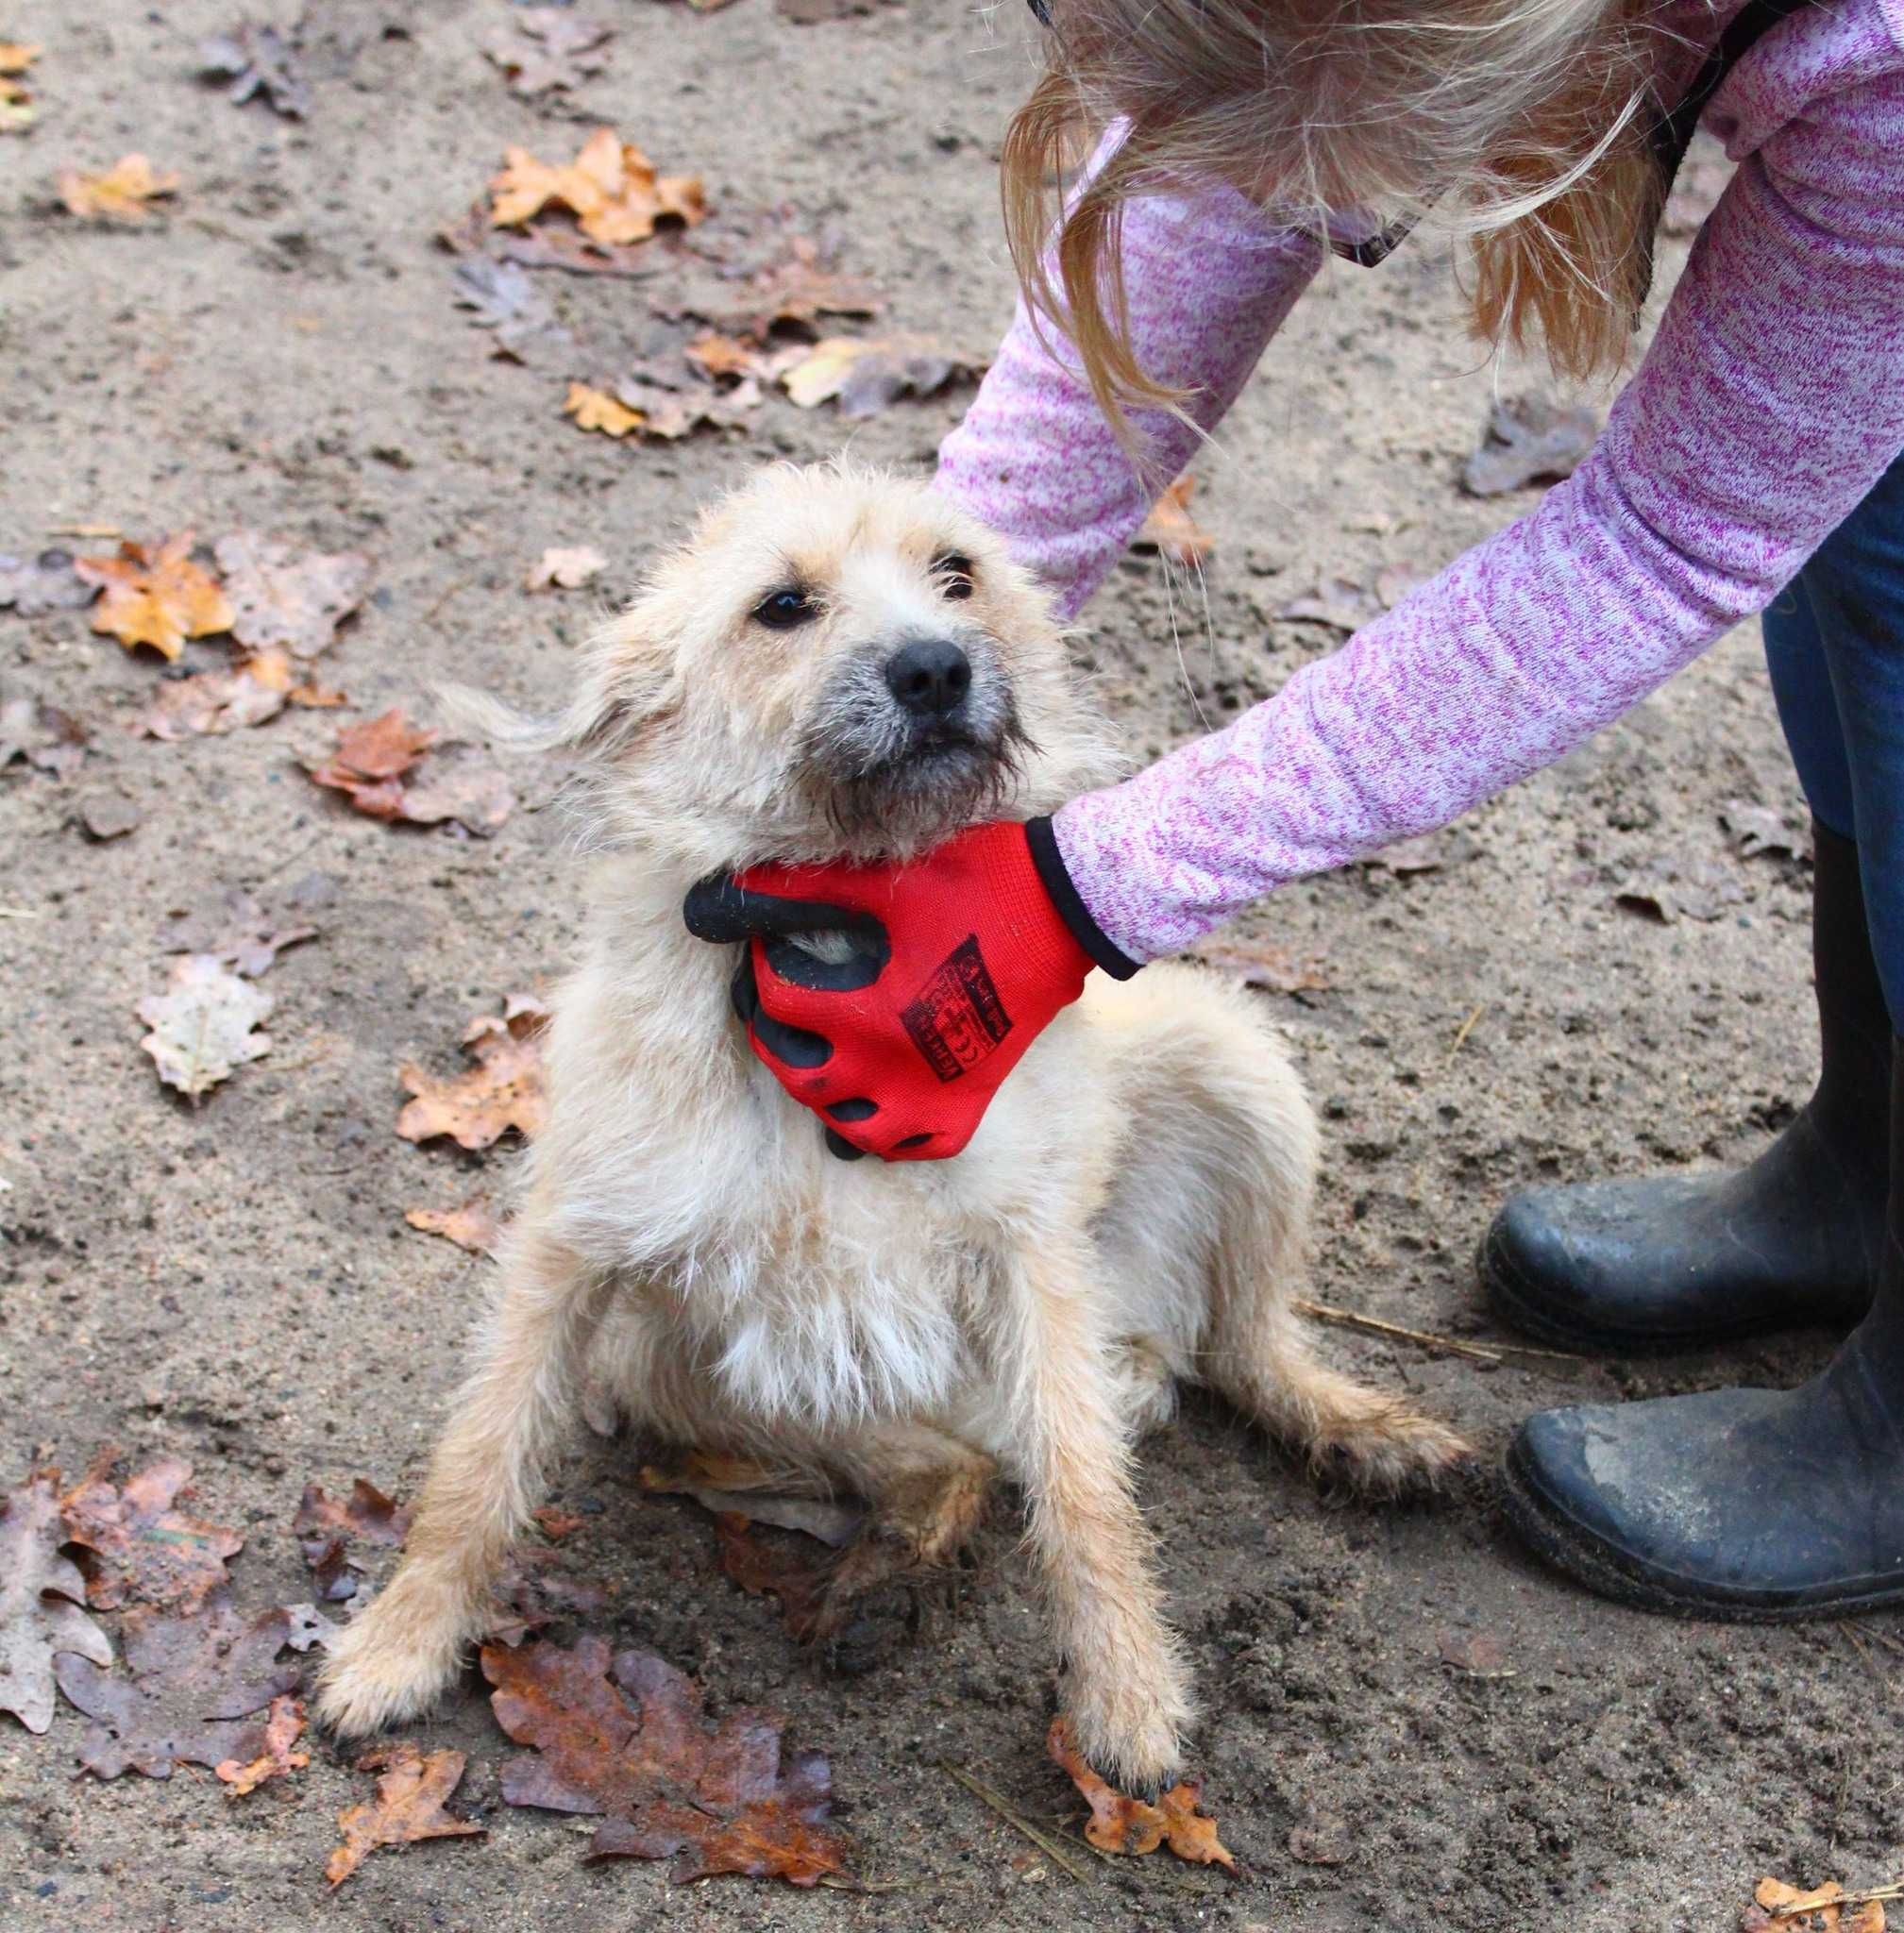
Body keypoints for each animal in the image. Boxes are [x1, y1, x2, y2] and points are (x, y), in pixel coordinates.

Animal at [314, 460, 1469, 1786]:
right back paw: (891, 1570)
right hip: (680, 1357)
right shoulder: (572, 1248)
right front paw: (399, 1641)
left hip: (1230, 1064)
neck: (836, 923)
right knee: (948, 1456)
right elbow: (478, 1457)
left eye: (956, 572)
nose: (933, 668)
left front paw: (1128, 1689)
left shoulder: (1032, 1258)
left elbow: (1087, 1491)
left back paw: (1361, 1427)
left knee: (1243, 1345)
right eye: (781, 605)